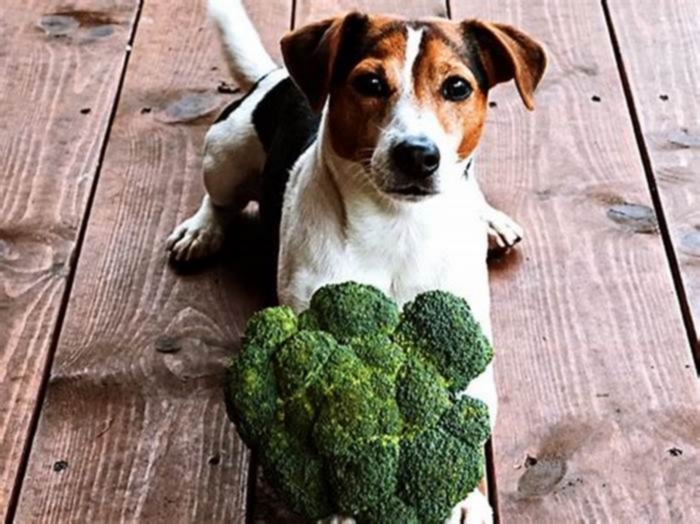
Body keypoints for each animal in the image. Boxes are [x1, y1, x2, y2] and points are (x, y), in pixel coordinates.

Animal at [165, 2, 548, 520]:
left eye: (457, 87)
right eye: (369, 83)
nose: (418, 155)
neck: (398, 225)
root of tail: (275, 75)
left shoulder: (465, 334)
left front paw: (466, 498)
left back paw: (489, 218)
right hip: (224, 154)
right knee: (219, 199)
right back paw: (202, 229)